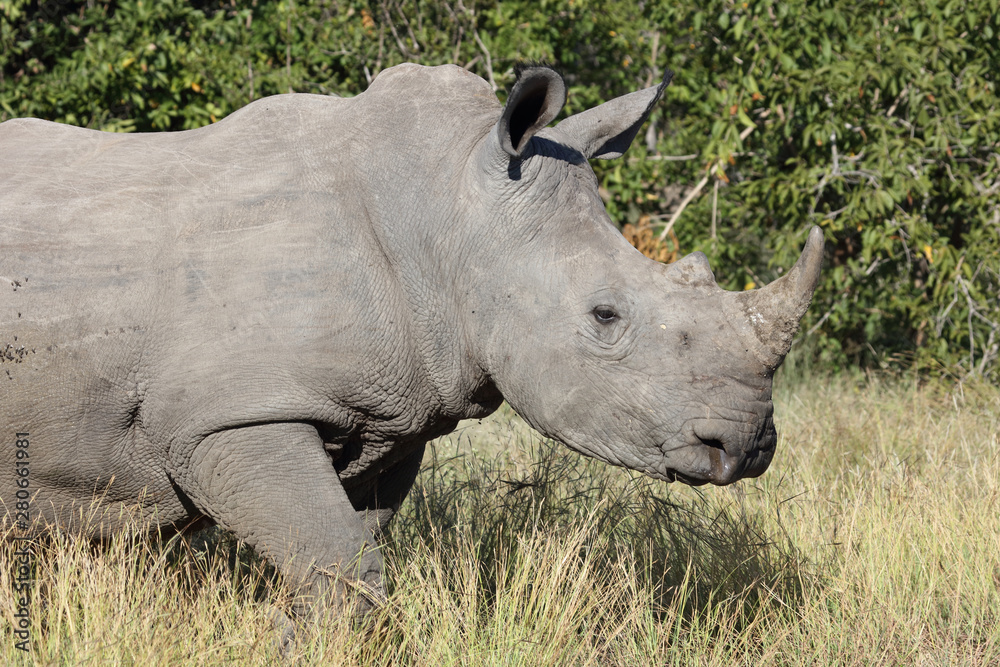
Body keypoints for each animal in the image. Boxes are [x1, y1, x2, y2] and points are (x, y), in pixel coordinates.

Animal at [0, 63, 822, 630]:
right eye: (605, 316)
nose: (746, 442)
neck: (445, 212)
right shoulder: (229, 415)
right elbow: (342, 563)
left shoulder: (389, 417)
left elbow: (346, 556)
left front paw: (294, 637)